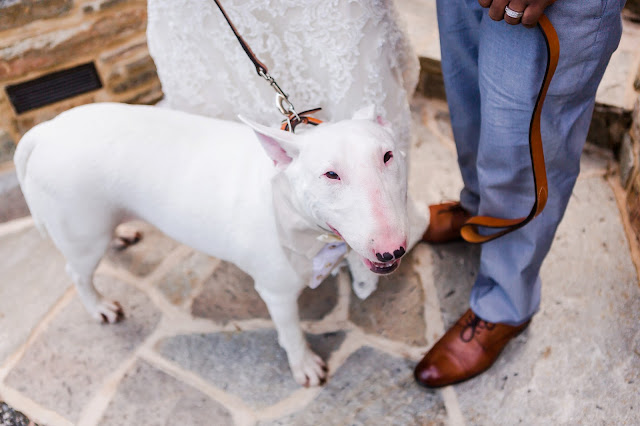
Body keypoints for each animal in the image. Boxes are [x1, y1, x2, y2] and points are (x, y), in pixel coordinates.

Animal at [12, 102, 428, 386]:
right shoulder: (275, 290)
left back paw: (123, 233)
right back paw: (99, 306)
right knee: (77, 272)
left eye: (388, 156)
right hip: (83, 233)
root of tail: (45, 130)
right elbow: (291, 330)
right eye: (331, 174)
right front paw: (306, 366)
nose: (391, 249)